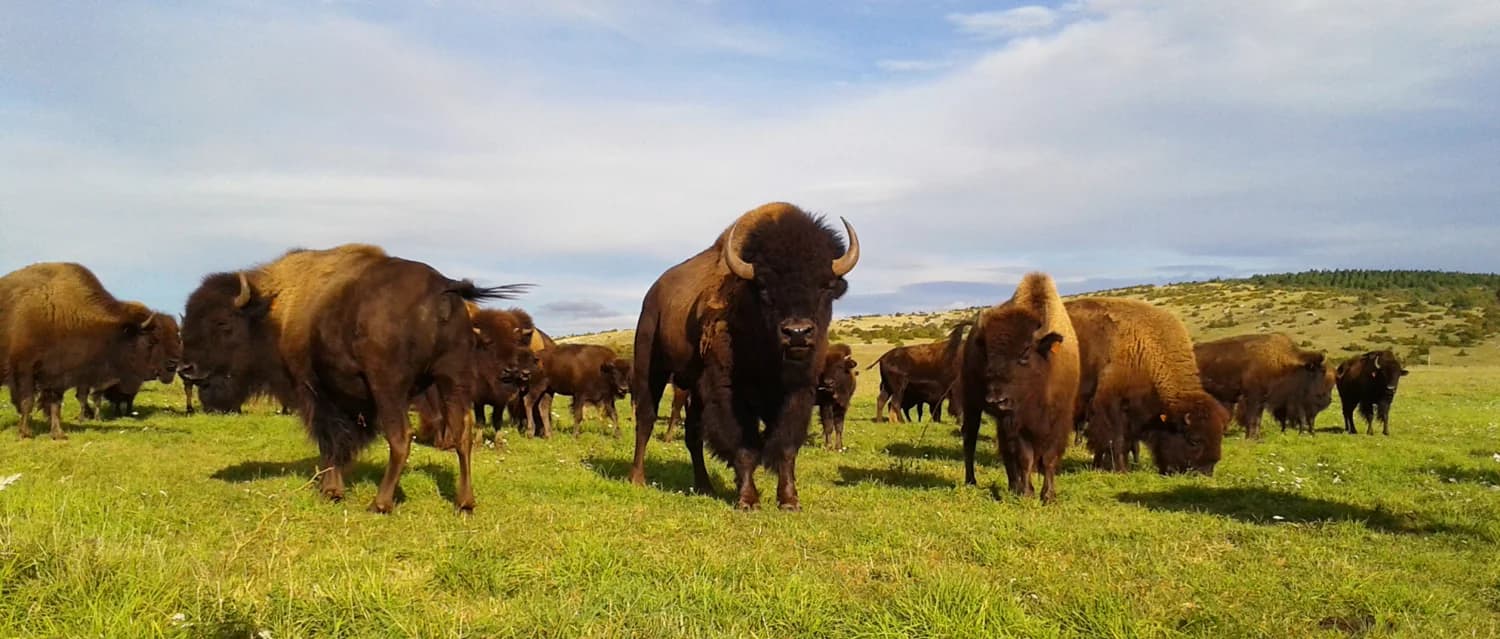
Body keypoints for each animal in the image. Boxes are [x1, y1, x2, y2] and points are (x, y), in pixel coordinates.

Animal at [179, 244, 523, 513]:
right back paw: (464, 502)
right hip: (453, 379)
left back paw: (380, 503)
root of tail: (442, 287)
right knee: (463, 435)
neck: (276, 311)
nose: (186, 368)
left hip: (389, 387)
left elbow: (330, 441)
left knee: (401, 438)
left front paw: (331, 491)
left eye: (223, 322)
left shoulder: (313, 391)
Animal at [629, 202, 859, 510]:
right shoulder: (729, 393)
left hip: (694, 388)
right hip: (651, 366)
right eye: (763, 286)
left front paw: (789, 501)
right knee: (646, 419)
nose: (797, 332)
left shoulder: (798, 393)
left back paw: (705, 486)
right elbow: (745, 446)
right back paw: (637, 479)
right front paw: (748, 501)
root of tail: (653, 293)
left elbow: (786, 447)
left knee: (693, 434)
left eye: (825, 285)